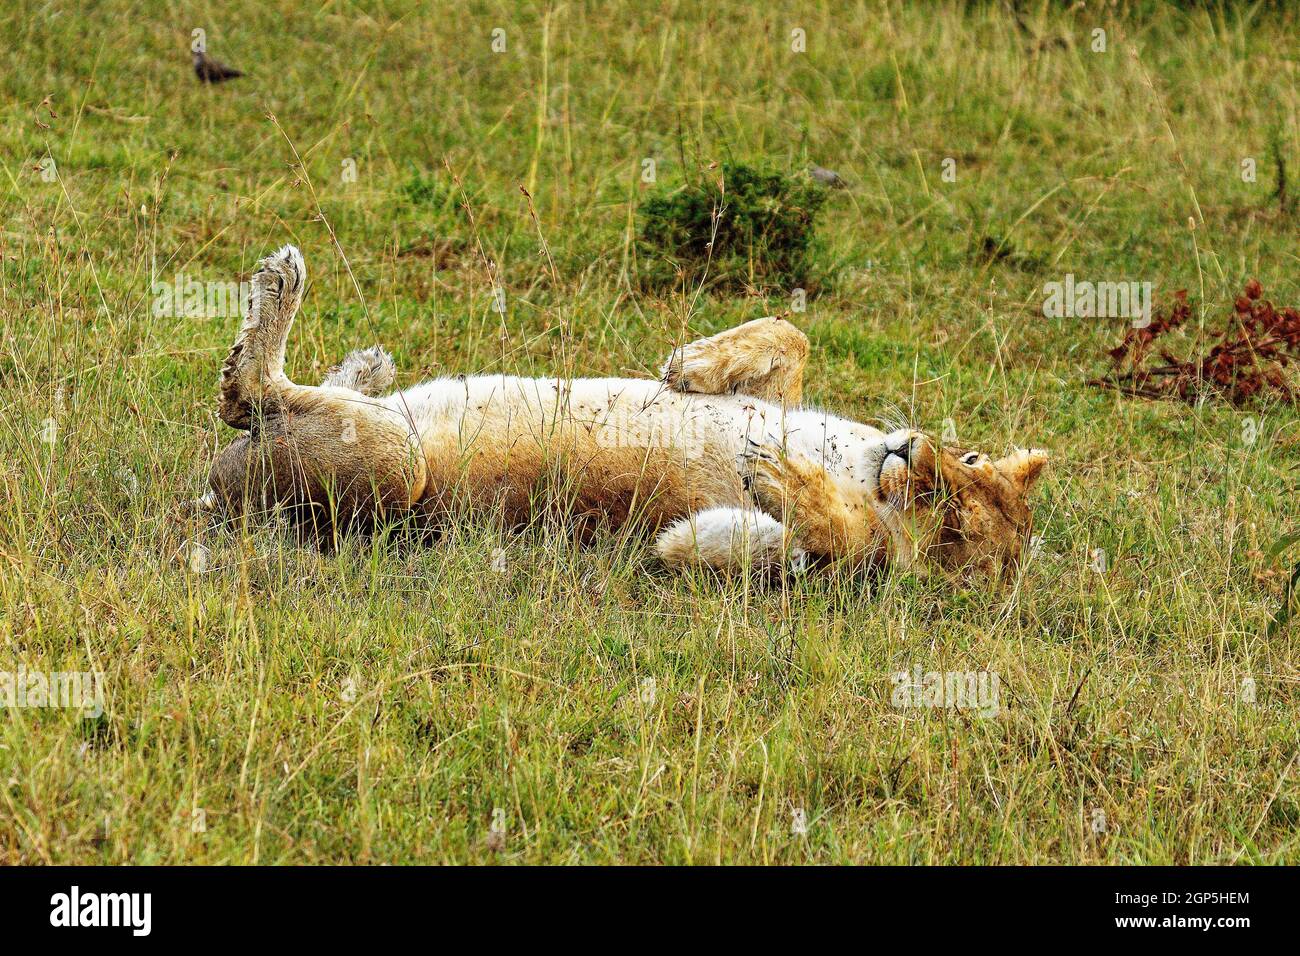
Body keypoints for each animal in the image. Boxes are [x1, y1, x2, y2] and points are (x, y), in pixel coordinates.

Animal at [210, 244, 1045, 574]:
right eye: (967, 466)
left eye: (952, 524)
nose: (914, 451)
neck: (863, 473)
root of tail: (216, 494)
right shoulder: (780, 396)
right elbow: (792, 335)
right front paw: (692, 365)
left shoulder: (801, 561)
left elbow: (786, 544)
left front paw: (775, 477)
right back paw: (364, 360)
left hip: (396, 471)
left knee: (250, 397)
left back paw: (279, 290)